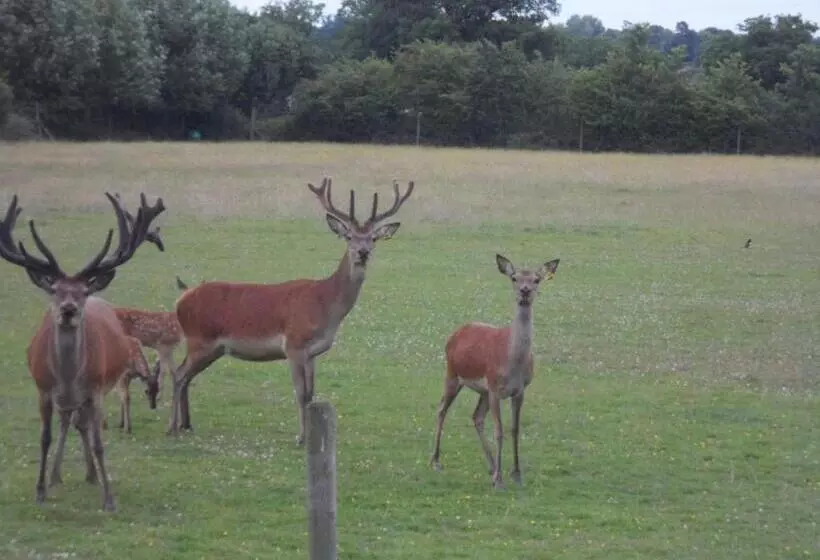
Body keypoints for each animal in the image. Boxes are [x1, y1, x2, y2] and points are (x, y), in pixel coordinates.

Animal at [0, 192, 166, 512]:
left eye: (83, 292)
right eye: (55, 290)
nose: (68, 310)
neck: (66, 377)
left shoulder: (96, 390)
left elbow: (99, 442)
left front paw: (109, 498)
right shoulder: (43, 390)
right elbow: (45, 437)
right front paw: (40, 491)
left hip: (92, 391)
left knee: (83, 425)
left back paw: (92, 475)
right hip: (66, 399)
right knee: (70, 423)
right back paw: (58, 476)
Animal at [166, 177, 414, 443]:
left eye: (373, 238)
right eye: (348, 236)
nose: (363, 252)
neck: (325, 305)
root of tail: (181, 299)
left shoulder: (313, 352)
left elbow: (312, 393)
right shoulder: (294, 345)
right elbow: (301, 393)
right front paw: (302, 437)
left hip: (213, 348)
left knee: (186, 376)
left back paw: (186, 425)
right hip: (199, 339)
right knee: (178, 374)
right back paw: (172, 427)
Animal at [430, 254, 560, 489]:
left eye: (536, 279)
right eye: (514, 278)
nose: (525, 291)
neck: (512, 364)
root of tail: (456, 332)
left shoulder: (520, 390)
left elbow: (515, 429)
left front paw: (516, 474)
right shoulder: (494, 387)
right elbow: (499, 431)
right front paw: (499, 479)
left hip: (481, 390)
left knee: (476, 417)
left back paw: (491, 465)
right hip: (452, 373)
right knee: (442, 408)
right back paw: (436, 461)